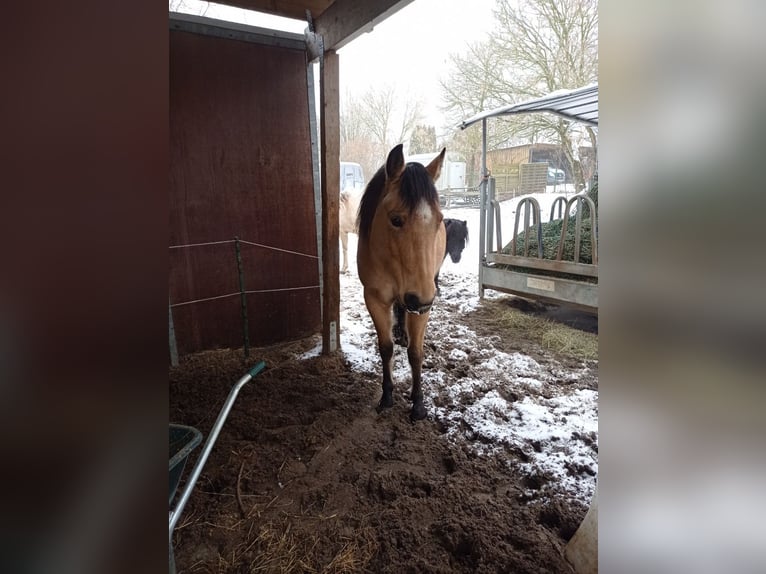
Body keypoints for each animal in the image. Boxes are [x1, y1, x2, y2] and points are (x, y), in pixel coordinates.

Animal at [356, 144, 447, 421]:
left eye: (439, 220)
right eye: (396, 220)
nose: (421, 298)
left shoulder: (423, 304)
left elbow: (416, 353)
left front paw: (418, 404)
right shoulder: (374, 298)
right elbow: (385, 347)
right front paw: (387, 396)